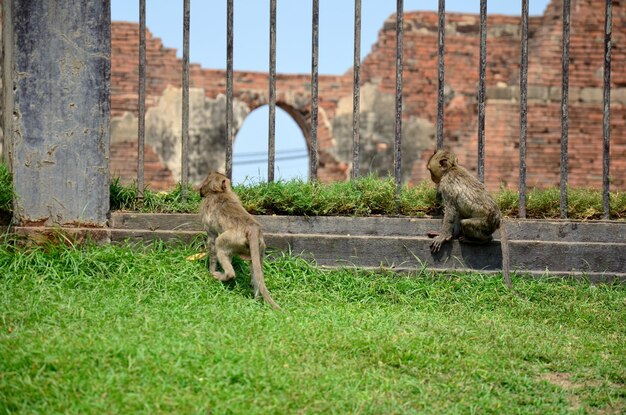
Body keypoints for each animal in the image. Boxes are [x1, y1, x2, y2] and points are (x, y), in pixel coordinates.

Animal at [197, 171, 280, 310]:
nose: (200, 191)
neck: (218, 192)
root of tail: (252, 228)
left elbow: (212, 241)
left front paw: (211, 271)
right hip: (260, 246)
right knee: (255, 269)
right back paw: (256, 299)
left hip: (232, 238)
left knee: (219, 243)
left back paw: (224, 275)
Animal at [424, 150, 512, 290]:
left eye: (430, 170)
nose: (432, 178)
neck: (451, 169)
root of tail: (499, 218)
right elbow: (456, 212)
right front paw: (449, 235)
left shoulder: (446, 186)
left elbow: (450, 211)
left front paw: (443, 237)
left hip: (485, 223)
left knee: (465, 223)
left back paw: (480, 240)